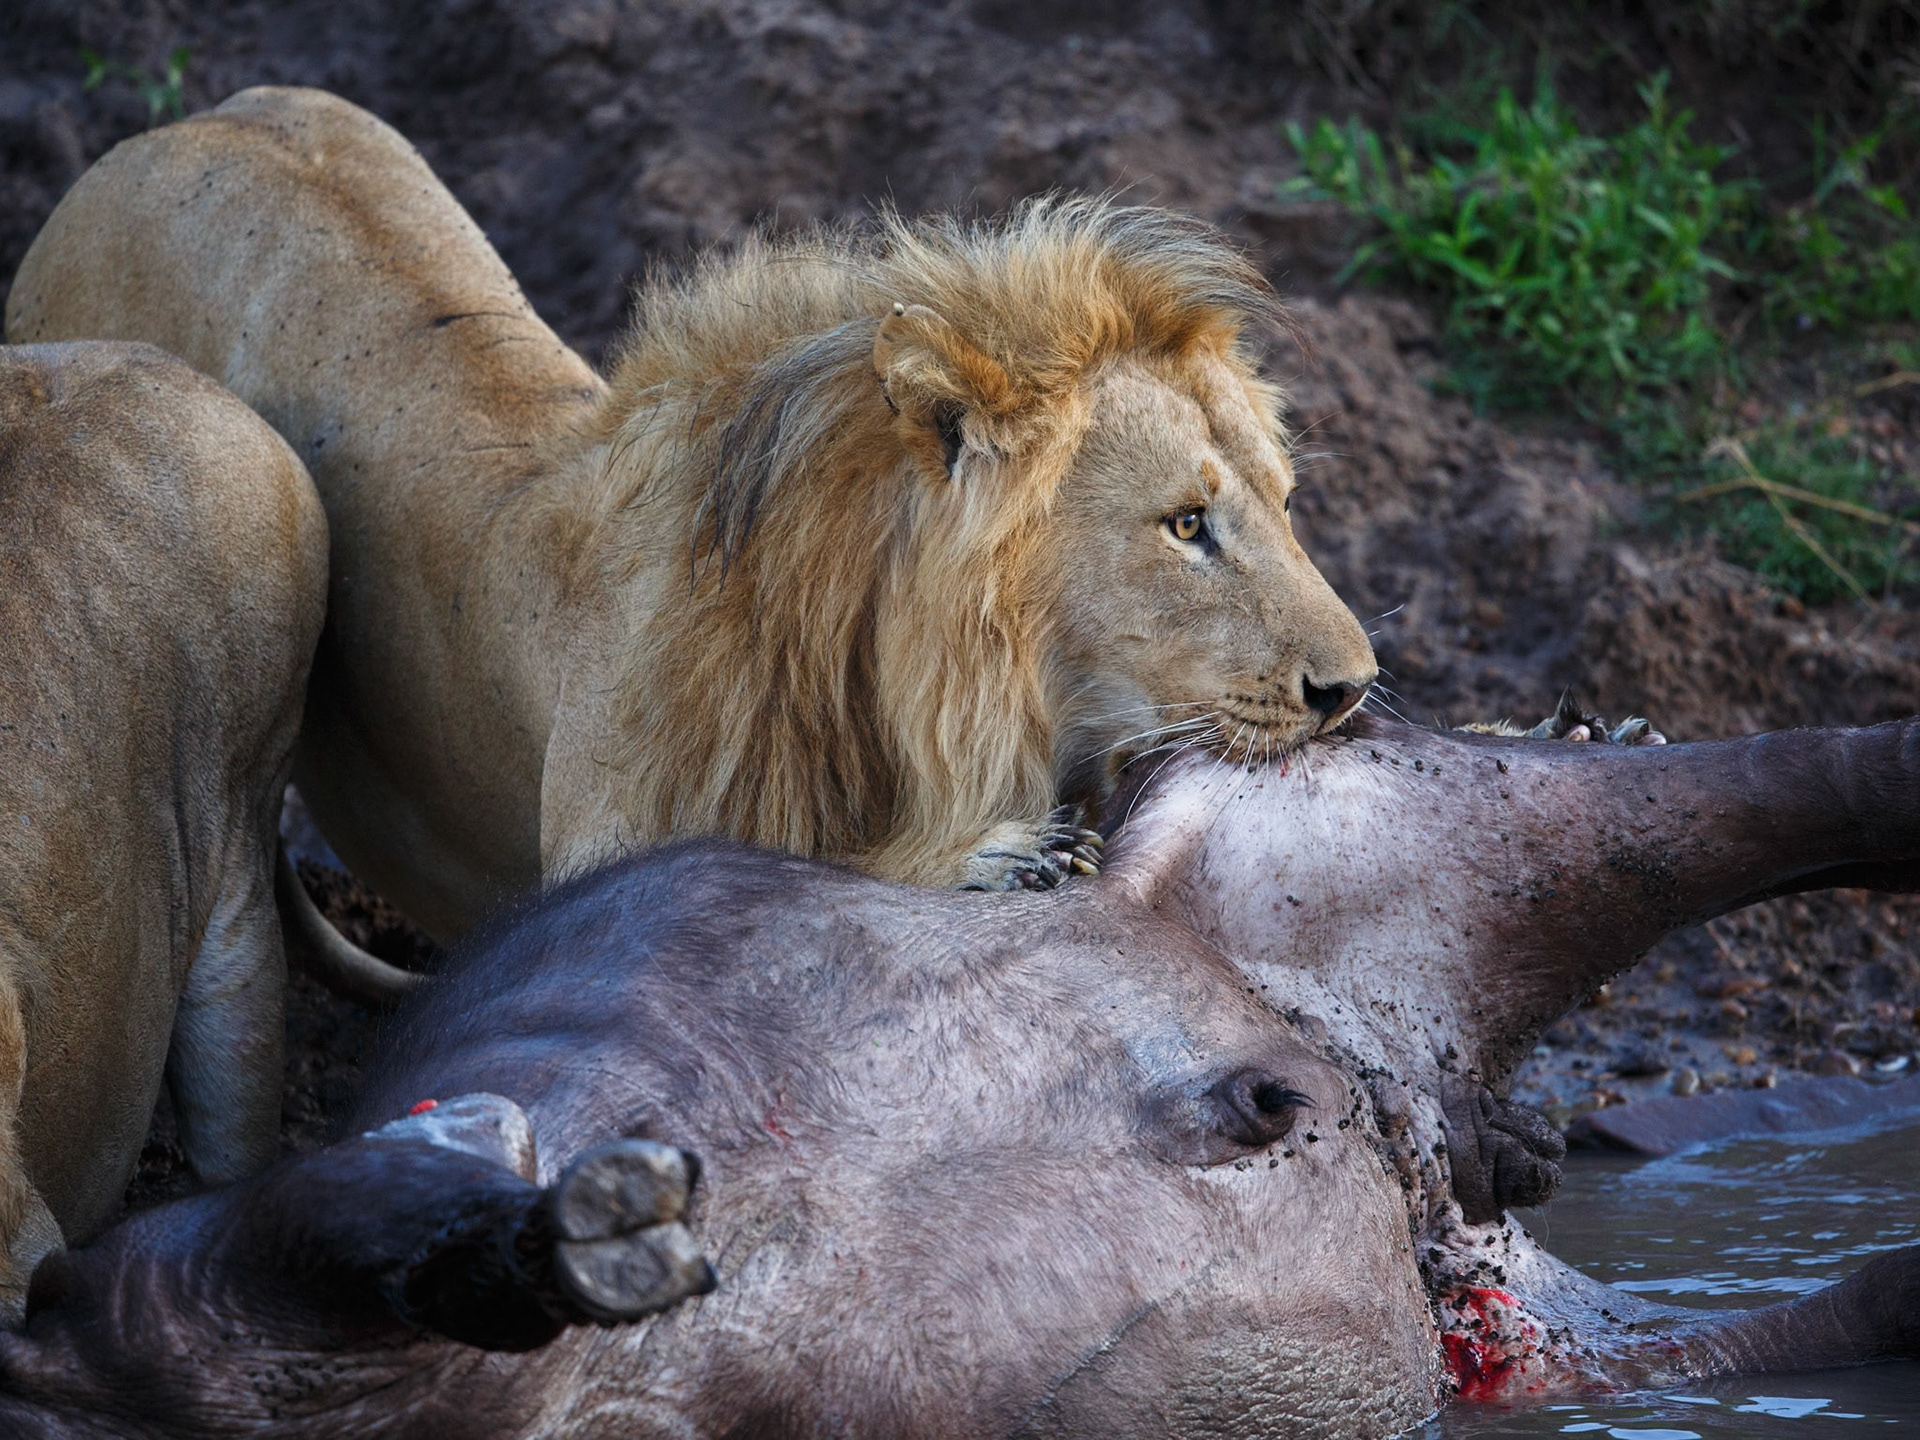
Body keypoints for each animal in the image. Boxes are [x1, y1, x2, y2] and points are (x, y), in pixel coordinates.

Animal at [8, 87, 1376, 947]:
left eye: (1284, 502)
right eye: (1186, 524)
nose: (1353, 690)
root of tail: (153, 138)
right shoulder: (596, 868)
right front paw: (991, 856)